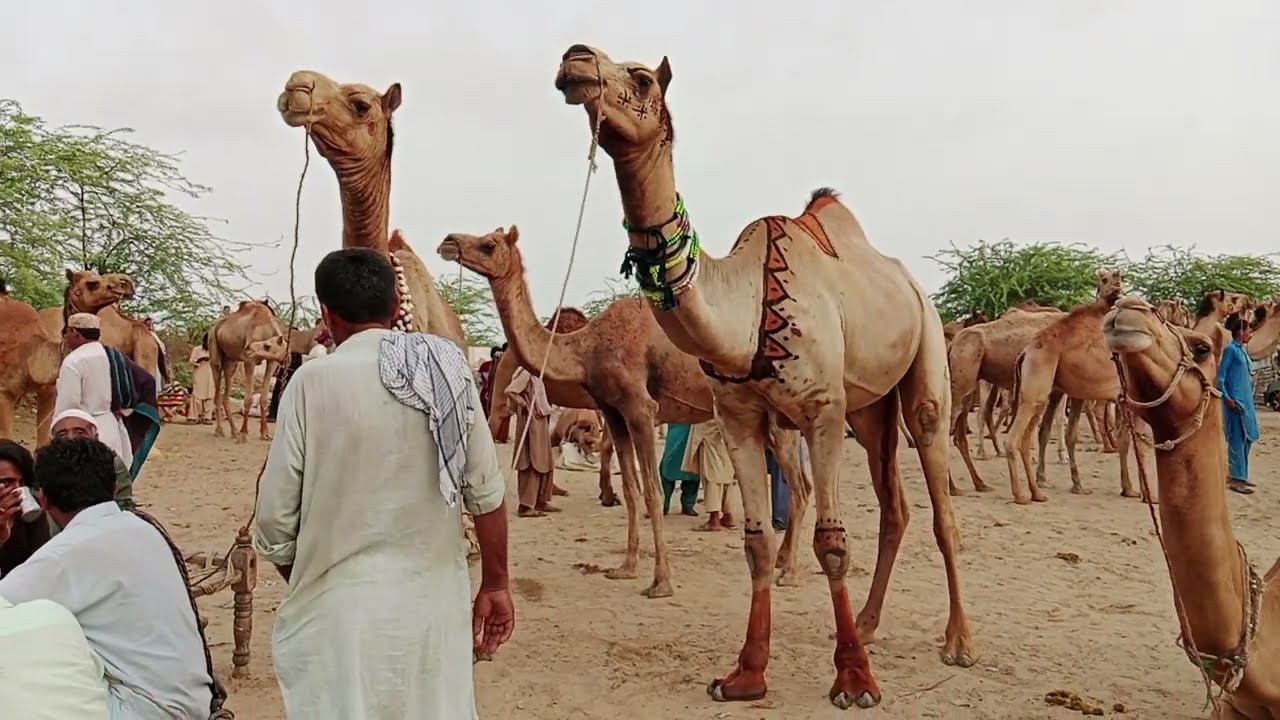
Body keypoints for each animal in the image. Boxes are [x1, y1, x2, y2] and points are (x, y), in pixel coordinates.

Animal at [208, 301, 285, 442]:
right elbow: (248, 398)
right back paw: (220, 431)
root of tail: (214, 328)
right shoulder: (249, 361)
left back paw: (234, 431)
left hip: (231, 360)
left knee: (226, 391)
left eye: (267, 346)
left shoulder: (271, 362)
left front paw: (265, 434)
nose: (248, 349)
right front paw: (244, 433)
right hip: (214, 348)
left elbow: (264, 398)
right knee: (217, 391)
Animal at [438, 227, 811, 596]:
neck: (585, 349)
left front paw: (661, 581)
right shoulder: (614, 412)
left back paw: (790, 572)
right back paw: (781, 561)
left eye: (488, 244)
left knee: (801, 487)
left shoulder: (641, 408)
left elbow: (652, 491)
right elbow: (631, 489)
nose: (448, 242)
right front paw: (626, 567)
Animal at [555, 45, 972, 709]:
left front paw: (854, 681)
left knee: (938, 495)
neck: (748, 305)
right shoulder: (740, 418)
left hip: (927, 352)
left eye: (641, 78)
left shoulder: (823, 412)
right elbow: (753, 543)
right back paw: (871, 625)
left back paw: (957, 642)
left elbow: (832, 542)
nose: (576, 60)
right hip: (869, 410)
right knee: (895, 506)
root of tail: (911, 284)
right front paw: (745, 674)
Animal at [1004, 269, 1137, 503]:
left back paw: (1038, 491)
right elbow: (1128, 440)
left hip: (1048, 390)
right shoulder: (1124, 395)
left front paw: (1081, 486)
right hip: (1038, 387)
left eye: (1119, 276)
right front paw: (1133, 490)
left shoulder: (1085, 393)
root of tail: (1026, 351)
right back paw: (1021, 495)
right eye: (1104, 279)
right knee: (1016, 438)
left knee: (1032, 434)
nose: (1116, 280)